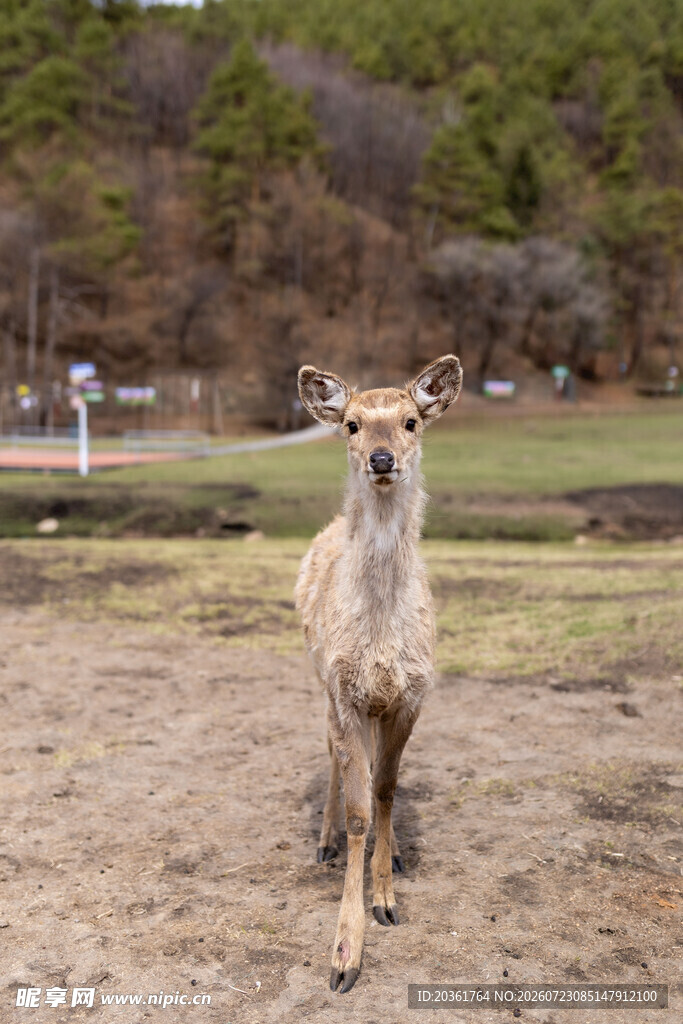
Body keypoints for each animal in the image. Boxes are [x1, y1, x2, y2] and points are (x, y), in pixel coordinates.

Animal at [295, 355, 462, 993]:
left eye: (411, 420)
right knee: (330, 753)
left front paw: (388, 895)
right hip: (321, 680)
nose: (383, 458)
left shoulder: (411, 694)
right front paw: (345, 955)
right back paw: (324, 844)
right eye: (351, 424)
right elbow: (359, 811)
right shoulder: (345, 689)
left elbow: (387, 790)